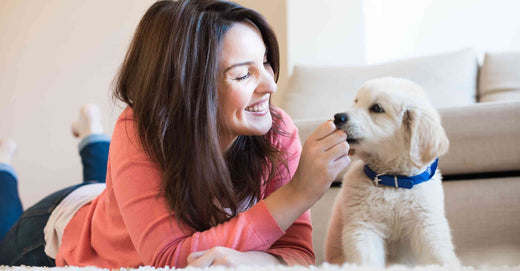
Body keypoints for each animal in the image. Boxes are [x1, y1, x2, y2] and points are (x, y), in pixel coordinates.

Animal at [324, 77, 460, 268]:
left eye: (376, 108)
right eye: (356, 101)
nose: (337, 117)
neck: (393, 180)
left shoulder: (427, 223)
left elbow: (438, 255)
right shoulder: (364, 225)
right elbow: (367, 259)